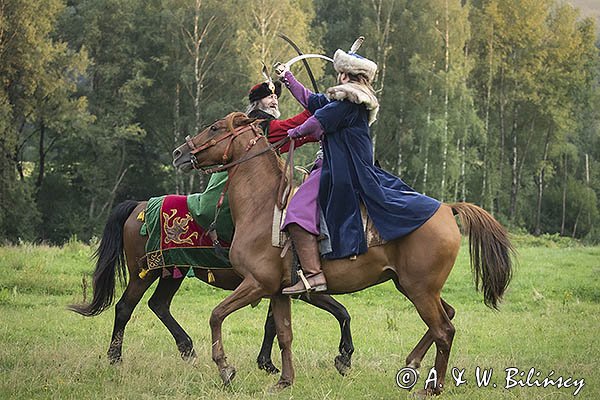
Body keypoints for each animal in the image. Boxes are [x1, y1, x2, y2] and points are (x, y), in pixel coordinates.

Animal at [69, 200, 356, 376]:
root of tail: (138, 207)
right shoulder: (301, 289)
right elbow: (341, 312)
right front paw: (344, 356)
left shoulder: (277, 288)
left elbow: (273, 324)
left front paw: (267, 364)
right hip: (145, 273)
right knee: (125, 308)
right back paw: (115, 357)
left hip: (172, 273)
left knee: (158, 304)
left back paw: (187, 349)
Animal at [171, 111, 512, 394]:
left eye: (215, 127)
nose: (179, 153)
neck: (264, 206)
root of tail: (445, 209)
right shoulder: (278, 292)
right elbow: (284, 334)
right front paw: (284, 381)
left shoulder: (257, 284)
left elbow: (217, 315)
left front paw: (225, 368)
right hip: (412, 286)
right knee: (446, 317)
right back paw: (413, 364)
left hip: (420, 290)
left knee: (444, 330)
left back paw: (432, 387)